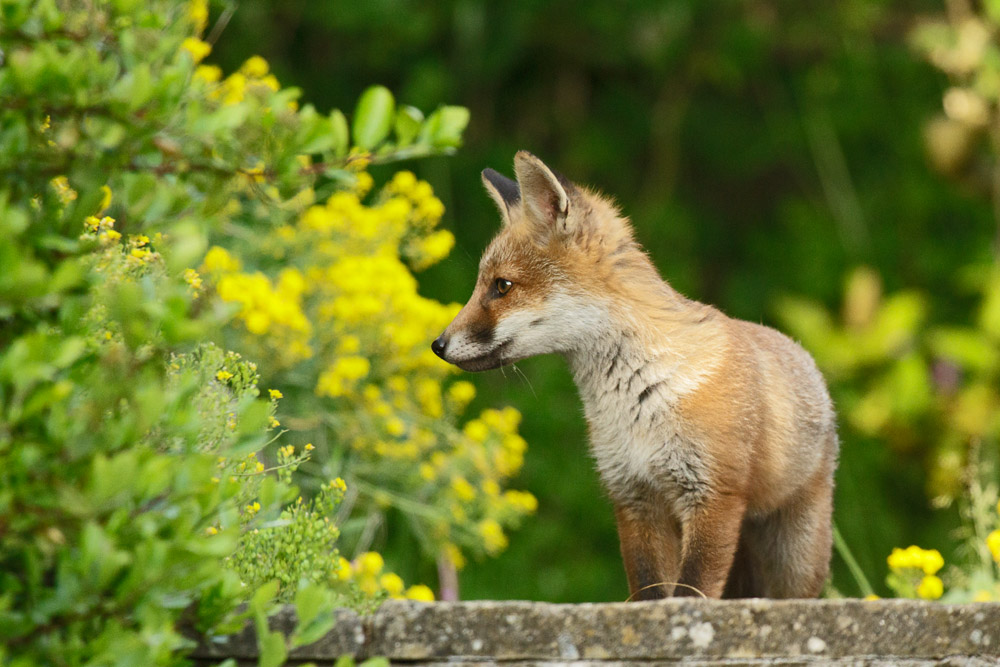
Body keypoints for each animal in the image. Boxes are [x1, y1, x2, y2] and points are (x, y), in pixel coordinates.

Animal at [431, 151, 838, 599]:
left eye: (502, 286)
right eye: (483, 285)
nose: (437, 344)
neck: (639, 398)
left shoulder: (714, 496)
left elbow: (690, 590)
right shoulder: (633, 497)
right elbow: (647, 590)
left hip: (794, 557)